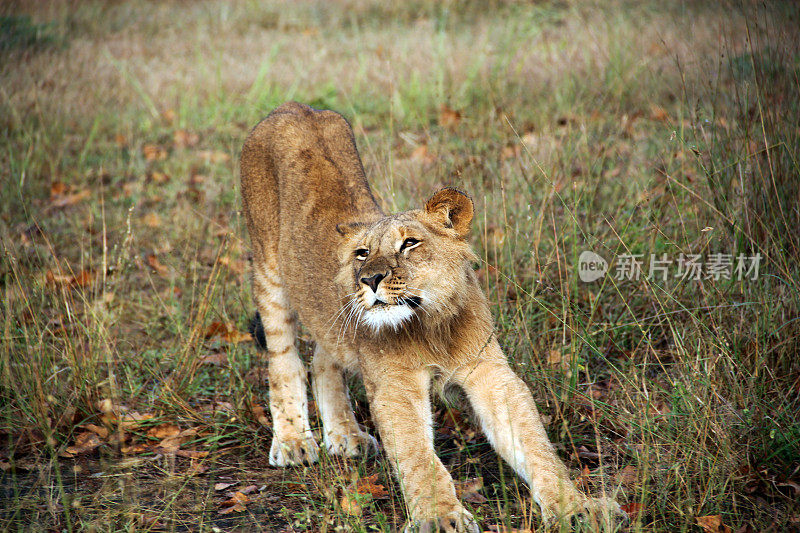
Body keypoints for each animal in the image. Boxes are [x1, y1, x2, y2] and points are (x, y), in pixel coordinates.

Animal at [239, 102, 624, 528]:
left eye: (410, 243)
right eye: (362, 253)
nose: (369, 279)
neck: (432, 325)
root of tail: (293, 106)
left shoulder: (489, 372)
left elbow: (534, 443)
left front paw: (577, 508)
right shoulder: (395, 385)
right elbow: (418, 457)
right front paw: (440, 518)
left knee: (325, 356)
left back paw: (346, 437)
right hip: (268, 270)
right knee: (284, 360)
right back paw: (293, 442)